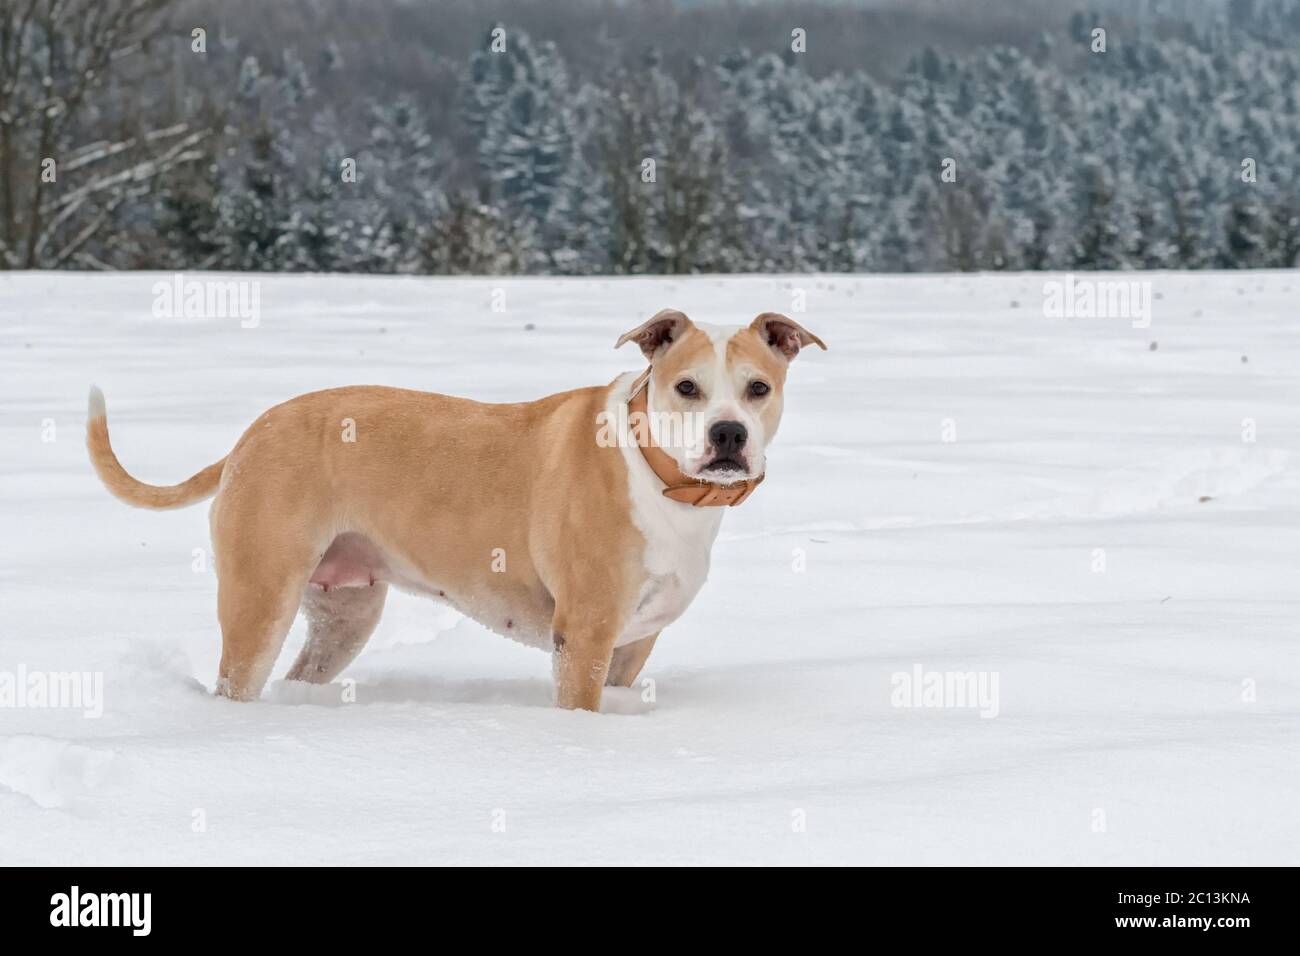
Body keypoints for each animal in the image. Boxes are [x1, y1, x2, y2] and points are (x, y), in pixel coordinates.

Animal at [86, 310, 826, 707]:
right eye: (687, 387)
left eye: (758, 388)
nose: (727, 435)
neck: (661, 476)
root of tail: (249, 436)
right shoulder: (585, 633)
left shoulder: (633, 640)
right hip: (260, 596)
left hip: (345, 611)